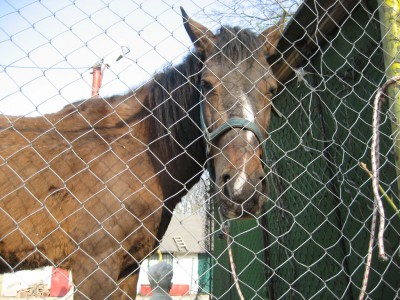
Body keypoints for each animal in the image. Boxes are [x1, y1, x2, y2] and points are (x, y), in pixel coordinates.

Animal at [0, 8, 282, 298]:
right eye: (206, 84)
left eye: (272, 88)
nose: (242, 189)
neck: (135, 154)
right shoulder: (93, 267)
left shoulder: (128, 267)